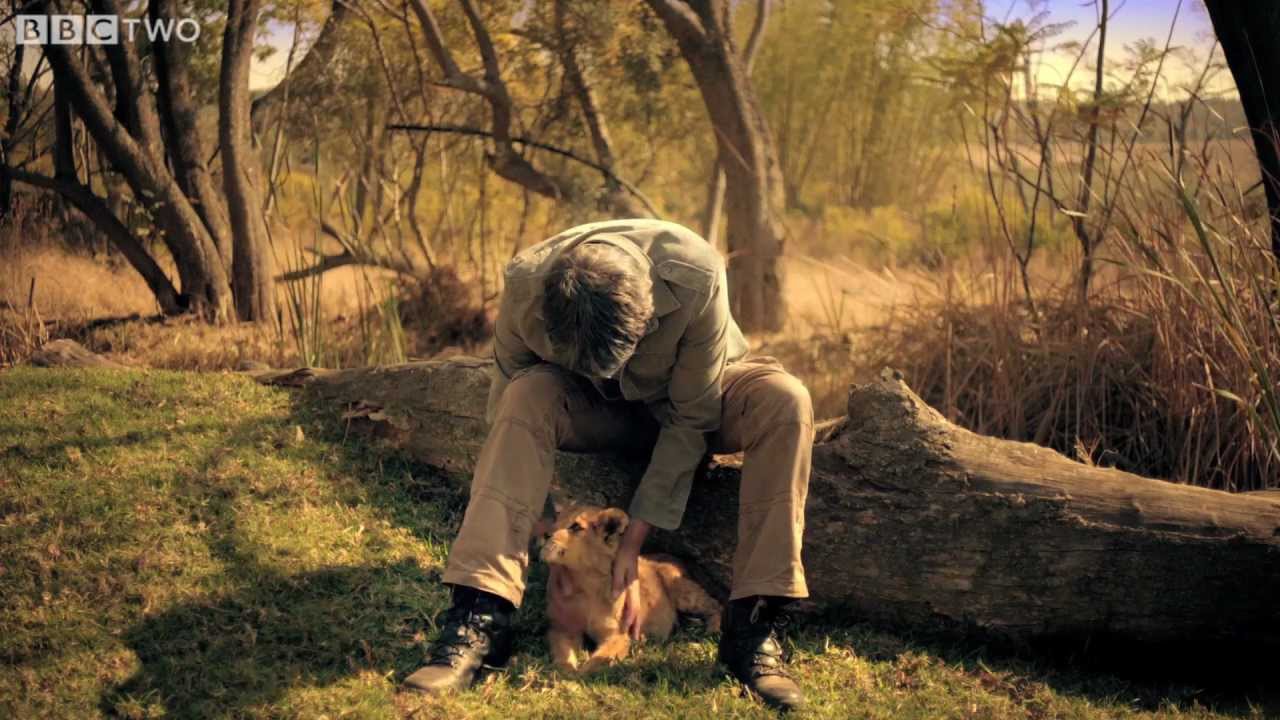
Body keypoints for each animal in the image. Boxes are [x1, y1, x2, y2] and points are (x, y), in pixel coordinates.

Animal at [538, 505, 722, 674]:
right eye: (556, 519)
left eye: (575, 527)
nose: (544, 534)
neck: (584, 582)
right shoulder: (561, 628)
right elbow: (562, 654)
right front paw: (565, 672)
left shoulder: (619, 635)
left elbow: (598, 661)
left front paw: (577, 677)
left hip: (680, 589)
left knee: (716, 605)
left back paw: (713, 630)